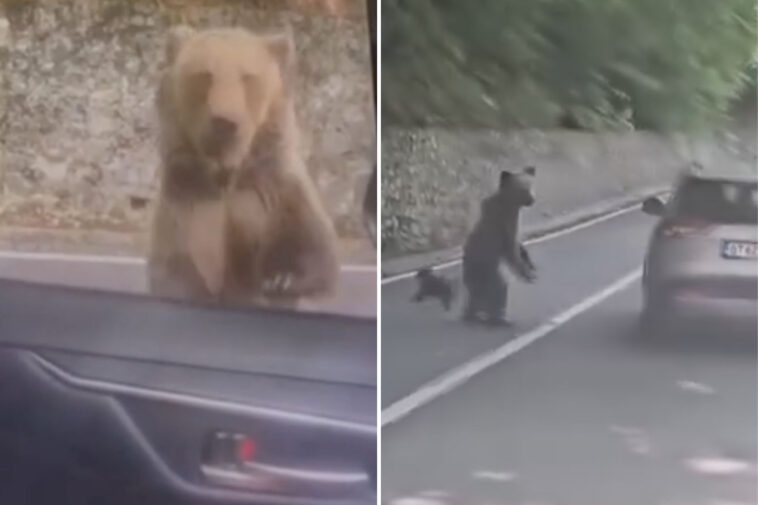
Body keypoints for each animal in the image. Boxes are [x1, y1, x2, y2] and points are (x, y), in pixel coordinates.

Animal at [147, 26, 340, 309]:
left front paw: (281, 279)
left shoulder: (275, 192)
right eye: (205, 74)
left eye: (248, 77)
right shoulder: (189, 204)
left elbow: (312, 248)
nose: (225, 122)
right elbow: (181, 267)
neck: (227, 175)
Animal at [461, 167, 538, 325]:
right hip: (486, 272)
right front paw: (528, 274)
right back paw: (499, 318)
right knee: (498, 290)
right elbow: (511, 249)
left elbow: (518, 244)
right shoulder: (505, 222)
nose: (532, 200)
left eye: (531, 184)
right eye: (522, 188)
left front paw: (530, 263)